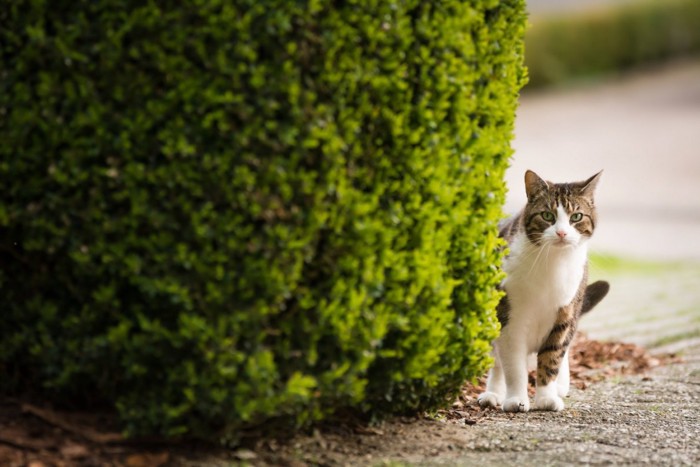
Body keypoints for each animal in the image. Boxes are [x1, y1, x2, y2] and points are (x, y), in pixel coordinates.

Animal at [478, 171, 608, 414]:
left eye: (576, 217)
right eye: (547, 215)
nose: (562, 232)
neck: (552, 263)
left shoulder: (565, 315)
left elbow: (552, 358)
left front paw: (547, 397)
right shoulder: (509, 319)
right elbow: (513, 365)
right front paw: (516, 399)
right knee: (497, 362)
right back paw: (493, 394)